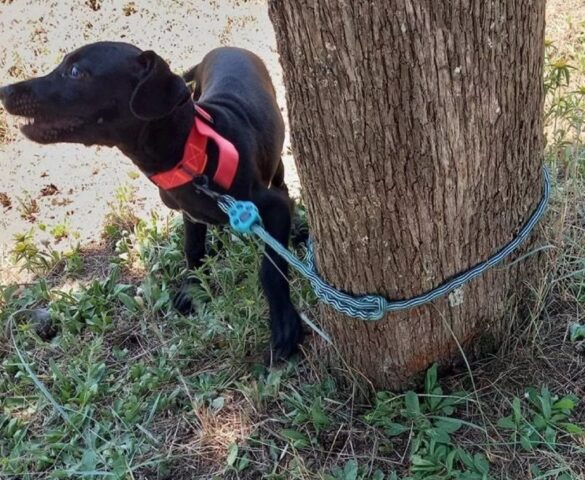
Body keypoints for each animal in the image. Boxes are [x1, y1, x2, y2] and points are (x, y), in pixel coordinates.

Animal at [0, 42, 302, 360]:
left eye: (75, 71)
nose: (5, 91)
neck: (190, 155)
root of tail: (227, 47)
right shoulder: (190, 213)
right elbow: (193, 250)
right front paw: (193, 288)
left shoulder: (274, 207)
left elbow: (271, 268)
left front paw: (284, 324)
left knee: (281, 179)